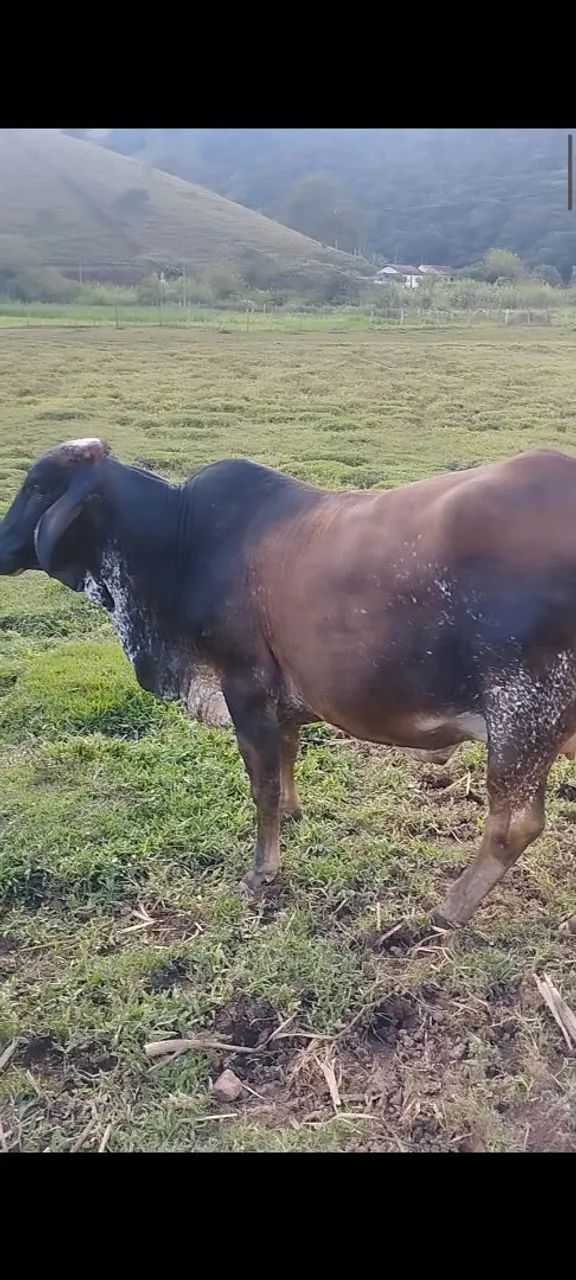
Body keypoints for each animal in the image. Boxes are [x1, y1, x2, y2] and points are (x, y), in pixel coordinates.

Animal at [1, 437, 576, 932]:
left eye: (39, 487)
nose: (2, 549)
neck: (176, 542)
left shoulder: (245, 686)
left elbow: (264, 784)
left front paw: (262, 871)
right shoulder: (281, 696)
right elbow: (288, 756)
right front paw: (294, 815)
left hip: (522, 718)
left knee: (513, 826)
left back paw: (449, 908)